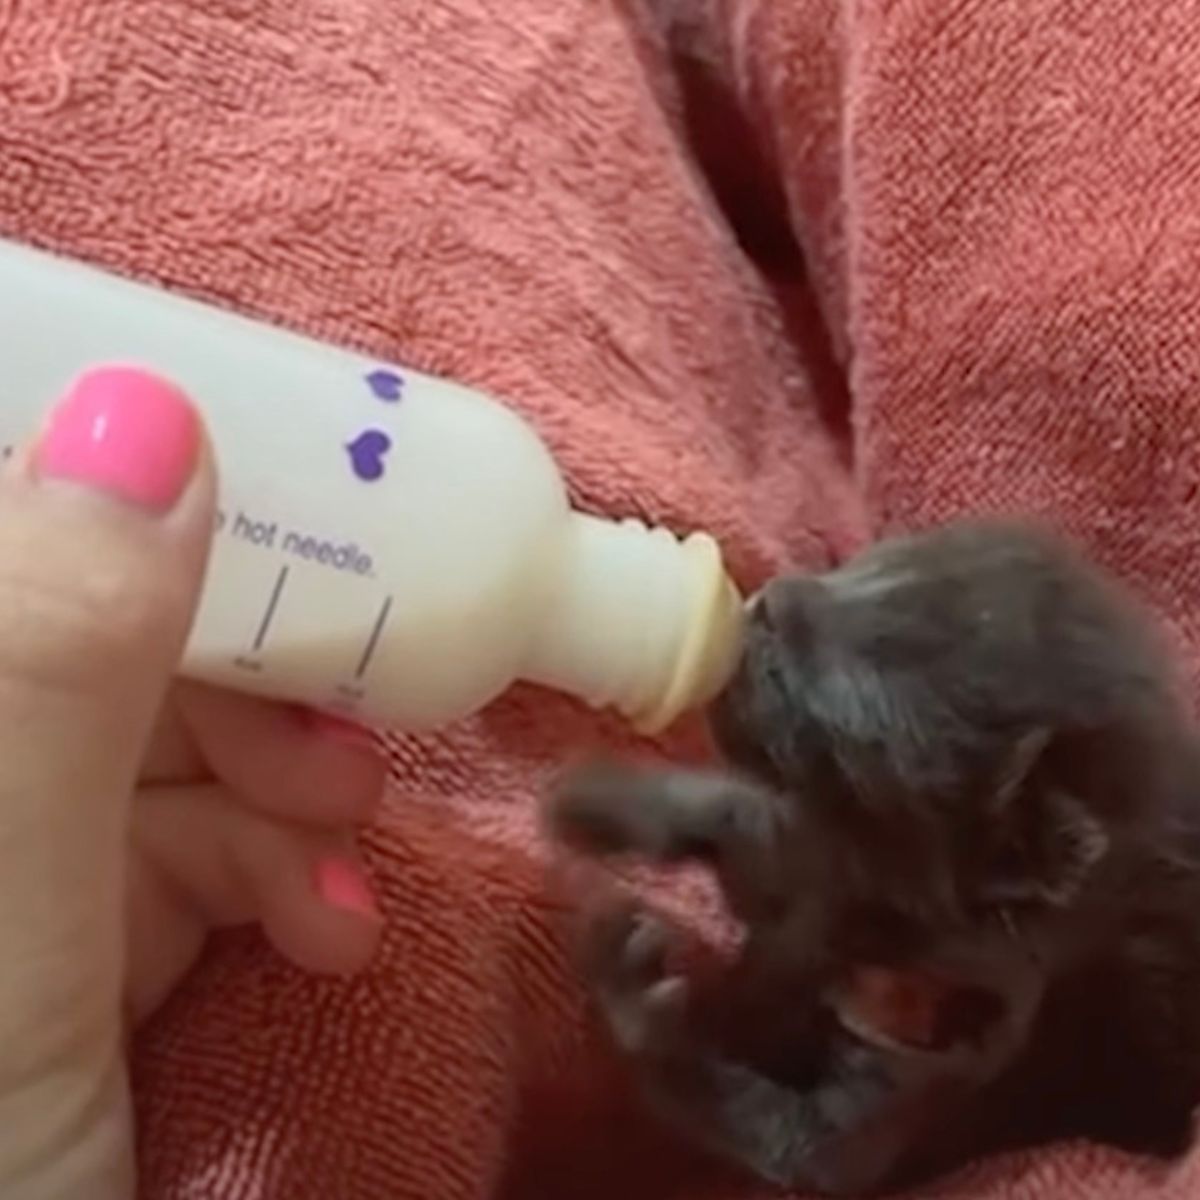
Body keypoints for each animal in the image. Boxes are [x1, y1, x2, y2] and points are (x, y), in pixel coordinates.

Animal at [544, 520, 1200, 1195]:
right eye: (871, 569)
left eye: (846, 717)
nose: (769, 602)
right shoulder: (789, 863)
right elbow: (736, 815)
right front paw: (611, 800)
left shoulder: (938, 1077)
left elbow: (788, 1142)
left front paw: (634, 999)